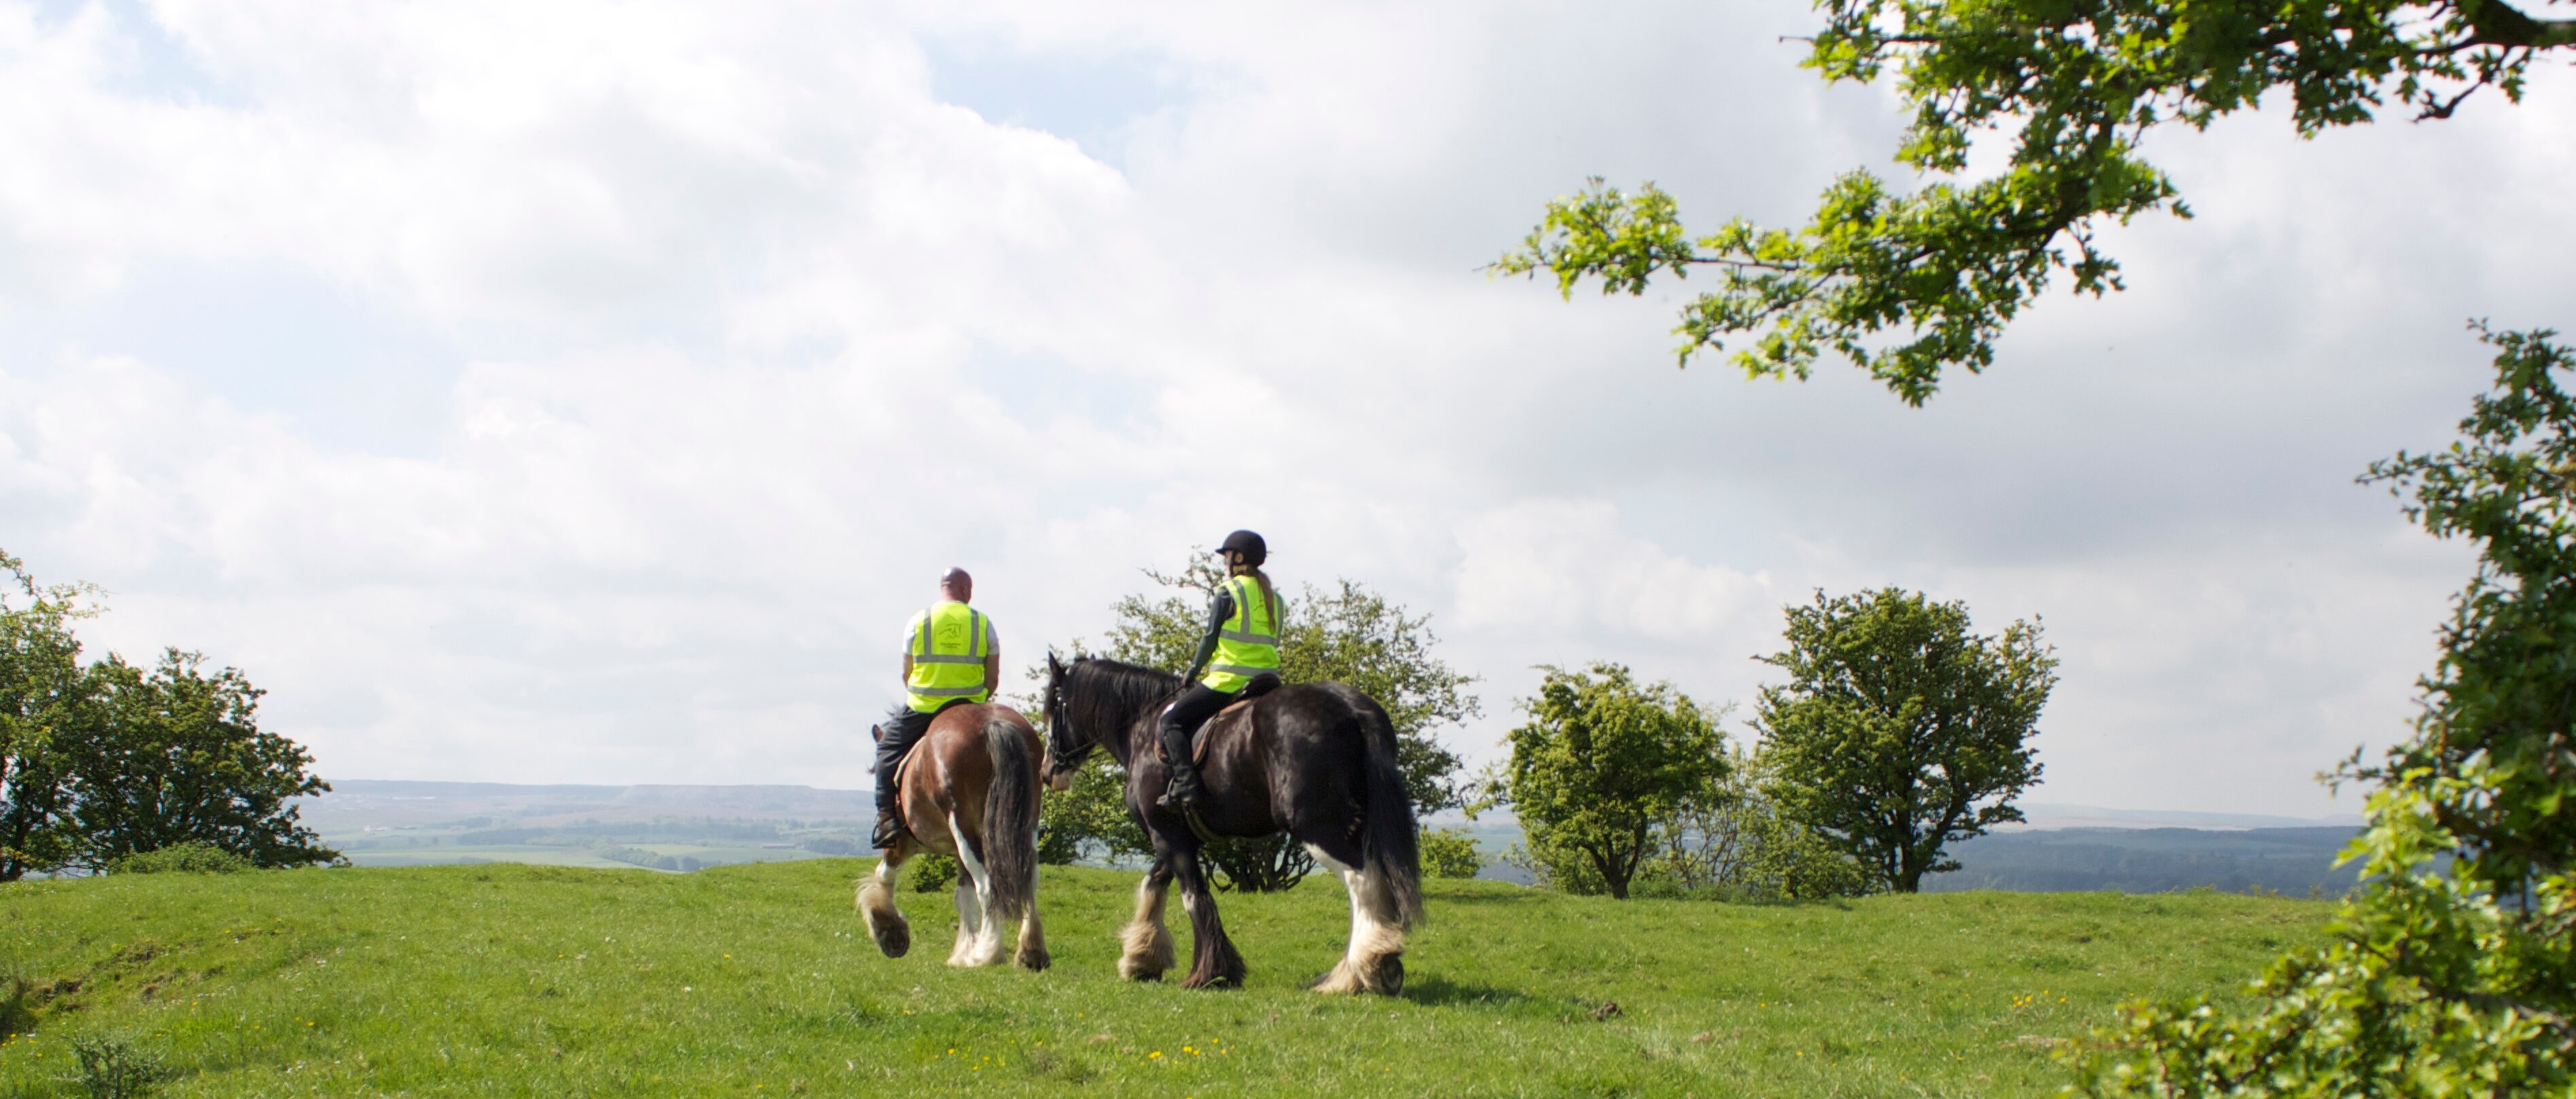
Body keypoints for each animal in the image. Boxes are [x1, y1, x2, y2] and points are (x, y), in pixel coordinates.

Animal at [860, 705, 1051, 973]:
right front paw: (964, 948)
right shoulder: (958, 851)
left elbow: (884, 875)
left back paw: (986, 953)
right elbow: (963, 895)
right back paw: (1031, 952)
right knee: (1029, 880)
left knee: (987, 887)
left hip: (962, 827)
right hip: (1025, 825)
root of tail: (993, 723)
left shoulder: (902, 842)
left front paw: (887, 927)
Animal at [1035, 659, 1422, 993]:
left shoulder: (1167, 834)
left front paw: (1210, 972)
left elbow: (1194, 896)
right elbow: (1154, 885)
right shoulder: (1176, 836)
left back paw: (1369, 965)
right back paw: (1355, 972)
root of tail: (1351, 707)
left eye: (1053, 706)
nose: (1047, 771)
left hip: (1316, 826)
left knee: (1362, 880)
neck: (1143, 729)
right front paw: (1141, 959)